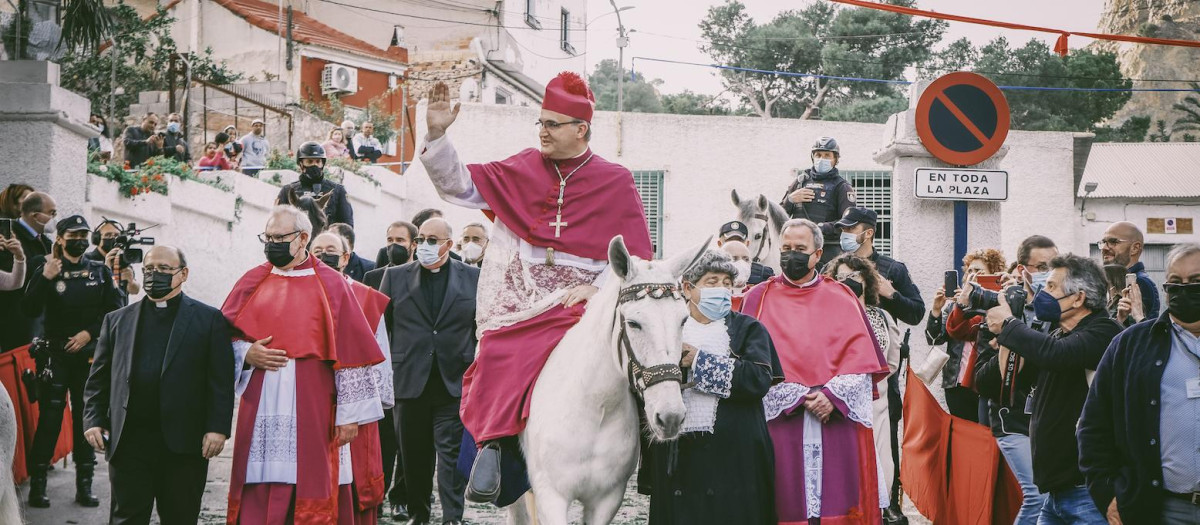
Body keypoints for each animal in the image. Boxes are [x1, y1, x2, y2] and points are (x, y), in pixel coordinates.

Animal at [511, 236, 705, 525]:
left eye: (683, 319)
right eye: (634, 323)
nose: (670, 417)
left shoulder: (607, 500)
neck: (595, 407)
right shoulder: (551, 497)